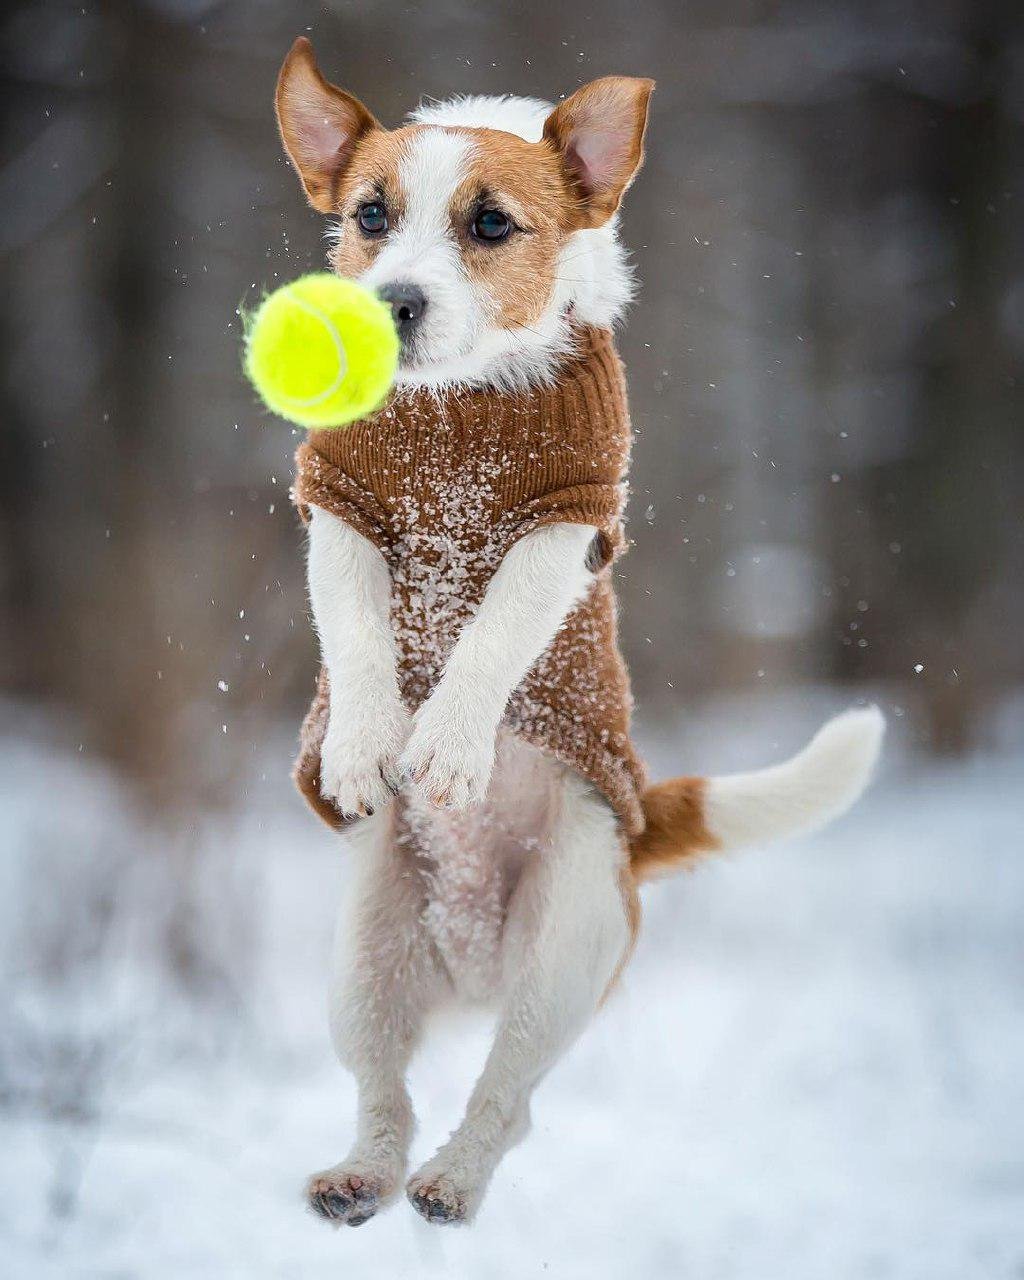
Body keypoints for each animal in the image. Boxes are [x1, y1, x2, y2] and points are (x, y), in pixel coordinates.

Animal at [273, 35, 885, 1223]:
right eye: (369, 213)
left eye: (490, 223)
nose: (394, 302)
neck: (459, 408)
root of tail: (471, 960)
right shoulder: (339, 503)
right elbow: (358, 631)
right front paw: (366, 743)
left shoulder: (567, 518)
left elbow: (492, 638)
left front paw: (446, 744)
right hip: (360, 963)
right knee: (385, 1088)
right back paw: (363, 1175)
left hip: (562, 944)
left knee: (505, 1099)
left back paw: (452, 1183)